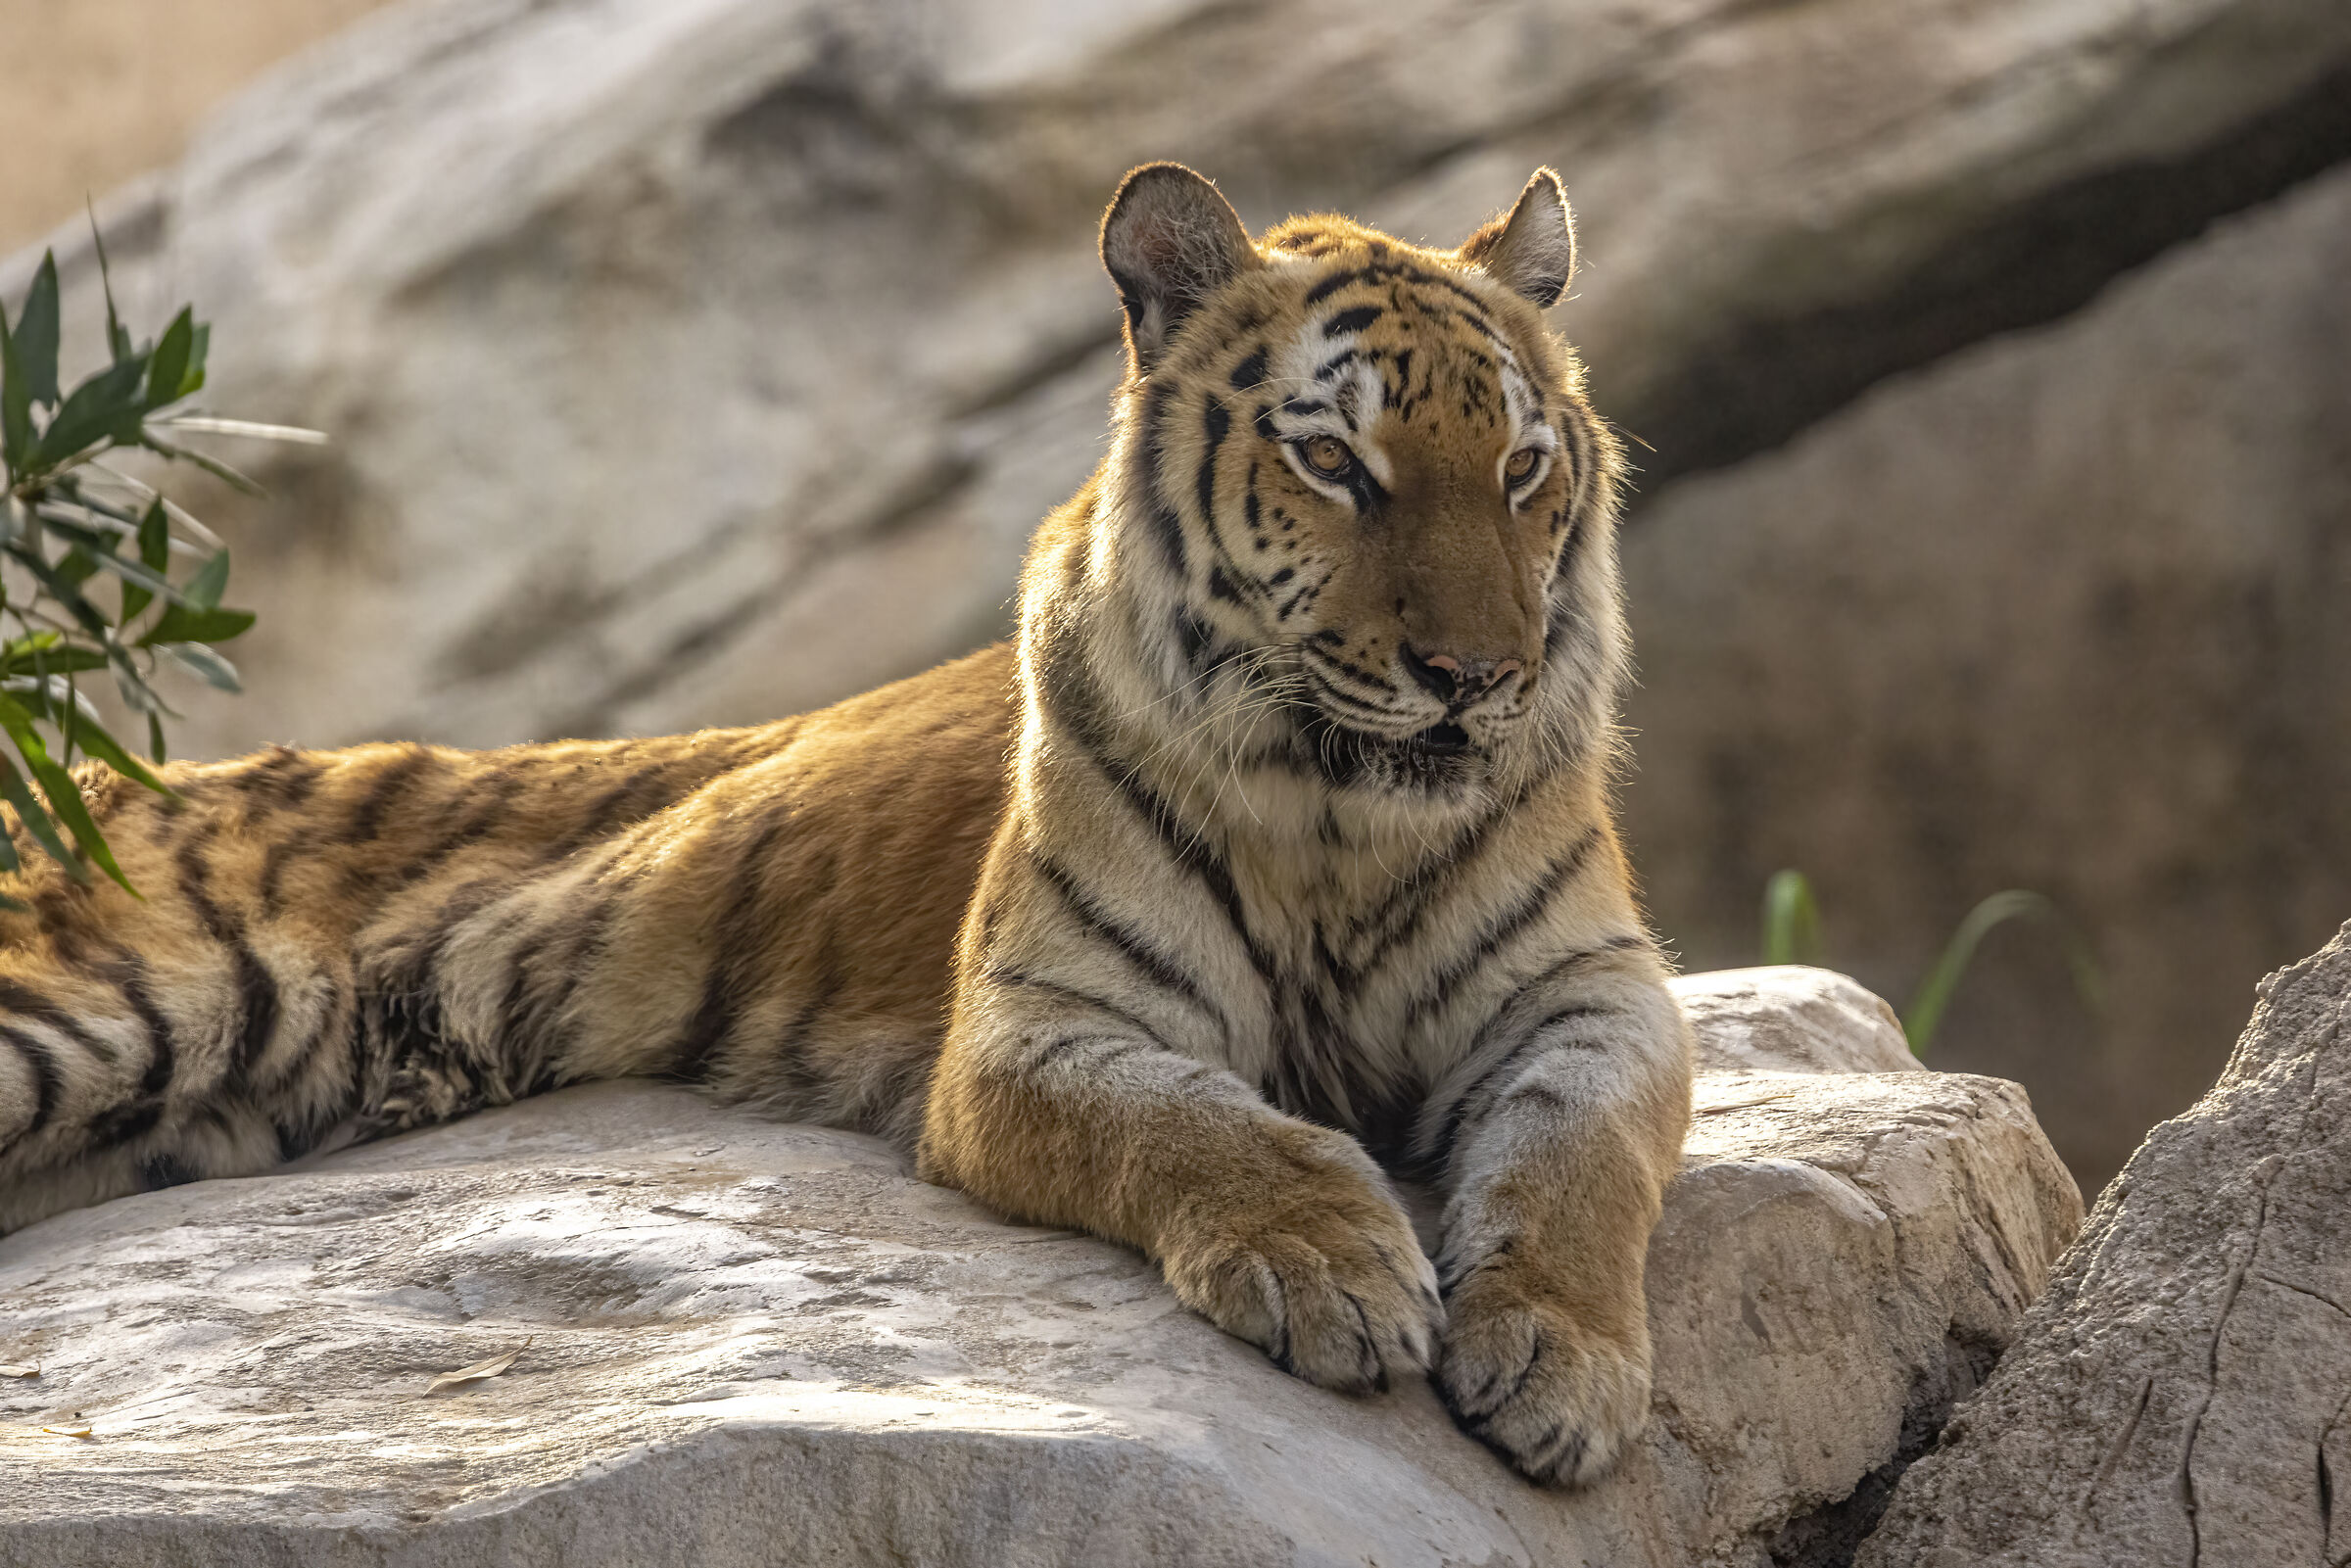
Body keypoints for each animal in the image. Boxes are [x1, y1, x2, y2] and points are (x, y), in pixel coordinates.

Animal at [0, 164, 1693, 1487]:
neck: (1344, 820)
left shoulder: (1595, 991)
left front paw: (1560, 1360)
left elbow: (1584, 1152)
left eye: (1522, 468)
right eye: (1334, 460)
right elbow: (1207, 1127)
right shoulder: (1039, 1027)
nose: (1477, 679)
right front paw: (1332, 1268)